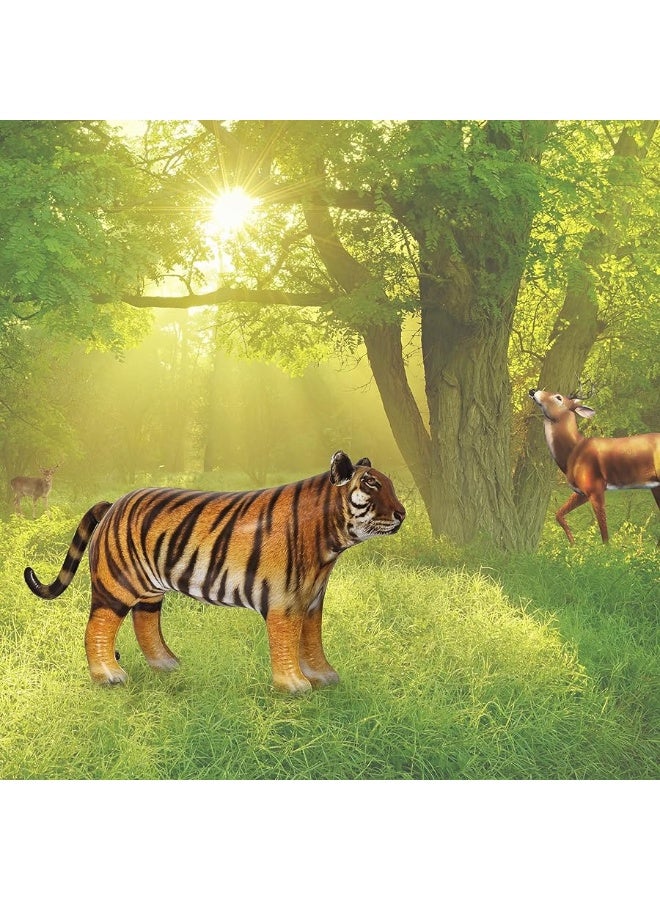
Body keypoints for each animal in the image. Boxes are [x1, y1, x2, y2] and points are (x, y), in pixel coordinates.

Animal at [24, 451, 406, 694]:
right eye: (371, 485)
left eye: (389, 484)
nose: (402, 513)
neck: (331, 544)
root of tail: (113, 502)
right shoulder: (286, 603)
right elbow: (286, 643)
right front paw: (295, 686)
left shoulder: (311, 603)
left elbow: (312, 641)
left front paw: (325, 677)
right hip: (118, 585)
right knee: (97, 628)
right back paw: (108, 676)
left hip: (150, 590)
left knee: (145, 623)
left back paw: (168, 666)